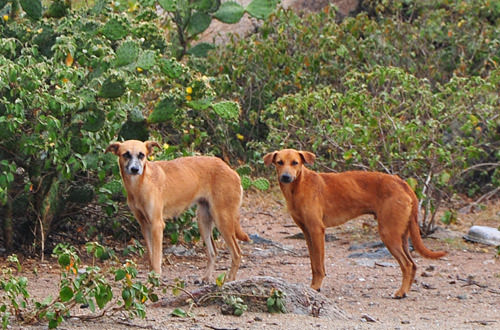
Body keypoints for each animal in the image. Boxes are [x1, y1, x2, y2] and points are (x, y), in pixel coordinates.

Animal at [106, 141, 249, 282]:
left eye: (141, 155)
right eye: (126, 154)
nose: (135, 169)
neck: (140, 185)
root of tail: (231, 170)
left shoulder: (157, 225)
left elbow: (156, 257)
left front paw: (155, 278)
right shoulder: (144, 225)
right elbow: (151, 256)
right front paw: (151, 277)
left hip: (222, 220)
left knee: (237, 253)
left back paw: (230, 280)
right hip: (203, 221)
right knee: (213, 252)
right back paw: (207, 277)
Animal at [264, 148, 448, 298]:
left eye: (295, 162)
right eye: (279, 162)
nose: (286, 177)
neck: (299, 187)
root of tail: (401, 182)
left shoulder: (317, 230)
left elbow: (319, 265)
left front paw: (315, 287)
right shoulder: (307, 232)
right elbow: (313, 264)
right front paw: (313, 286)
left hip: (389, 234)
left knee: (408, 265)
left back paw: (401, 292)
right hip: (401, 235)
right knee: (414, 265)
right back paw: (405, 291)